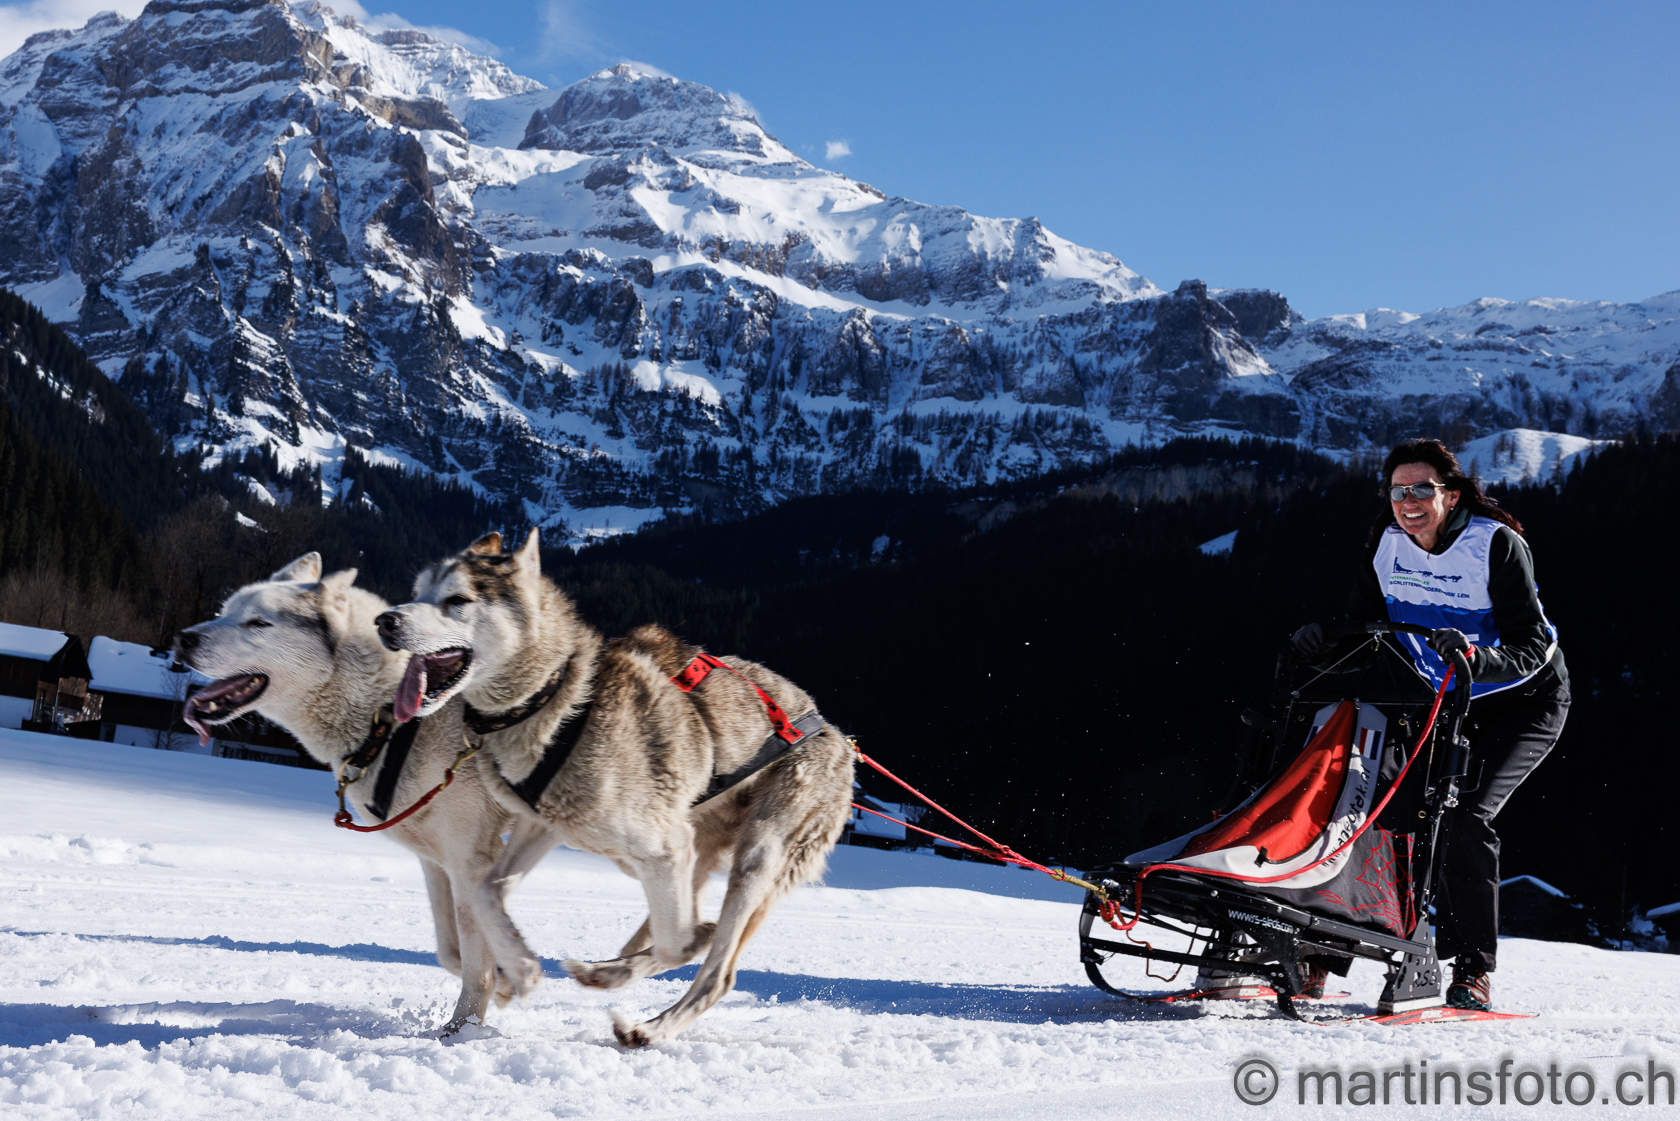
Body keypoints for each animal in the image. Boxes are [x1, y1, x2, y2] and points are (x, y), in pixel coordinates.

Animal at [172, 553, 519, 1036]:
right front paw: (503, 981)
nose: (181, 639)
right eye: (224, 611)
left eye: (258, 622)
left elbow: (473, 958)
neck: (390, 716)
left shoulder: (470, 855)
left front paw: (462, 1031)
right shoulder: (438, 861)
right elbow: (452, 951)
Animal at [374, 529, 855, 1047]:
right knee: (671, 932)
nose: (386, 620)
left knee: (716, 971)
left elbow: (678, 944)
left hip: (754, 857)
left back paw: (651, 1022)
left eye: (457, 599)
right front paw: (520, 968)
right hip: (670, 855)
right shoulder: (544, 827)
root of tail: (836, 734)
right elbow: (487, 891)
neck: (557, 702)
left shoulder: (665, 847)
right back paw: (609, 973)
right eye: (418, 591)